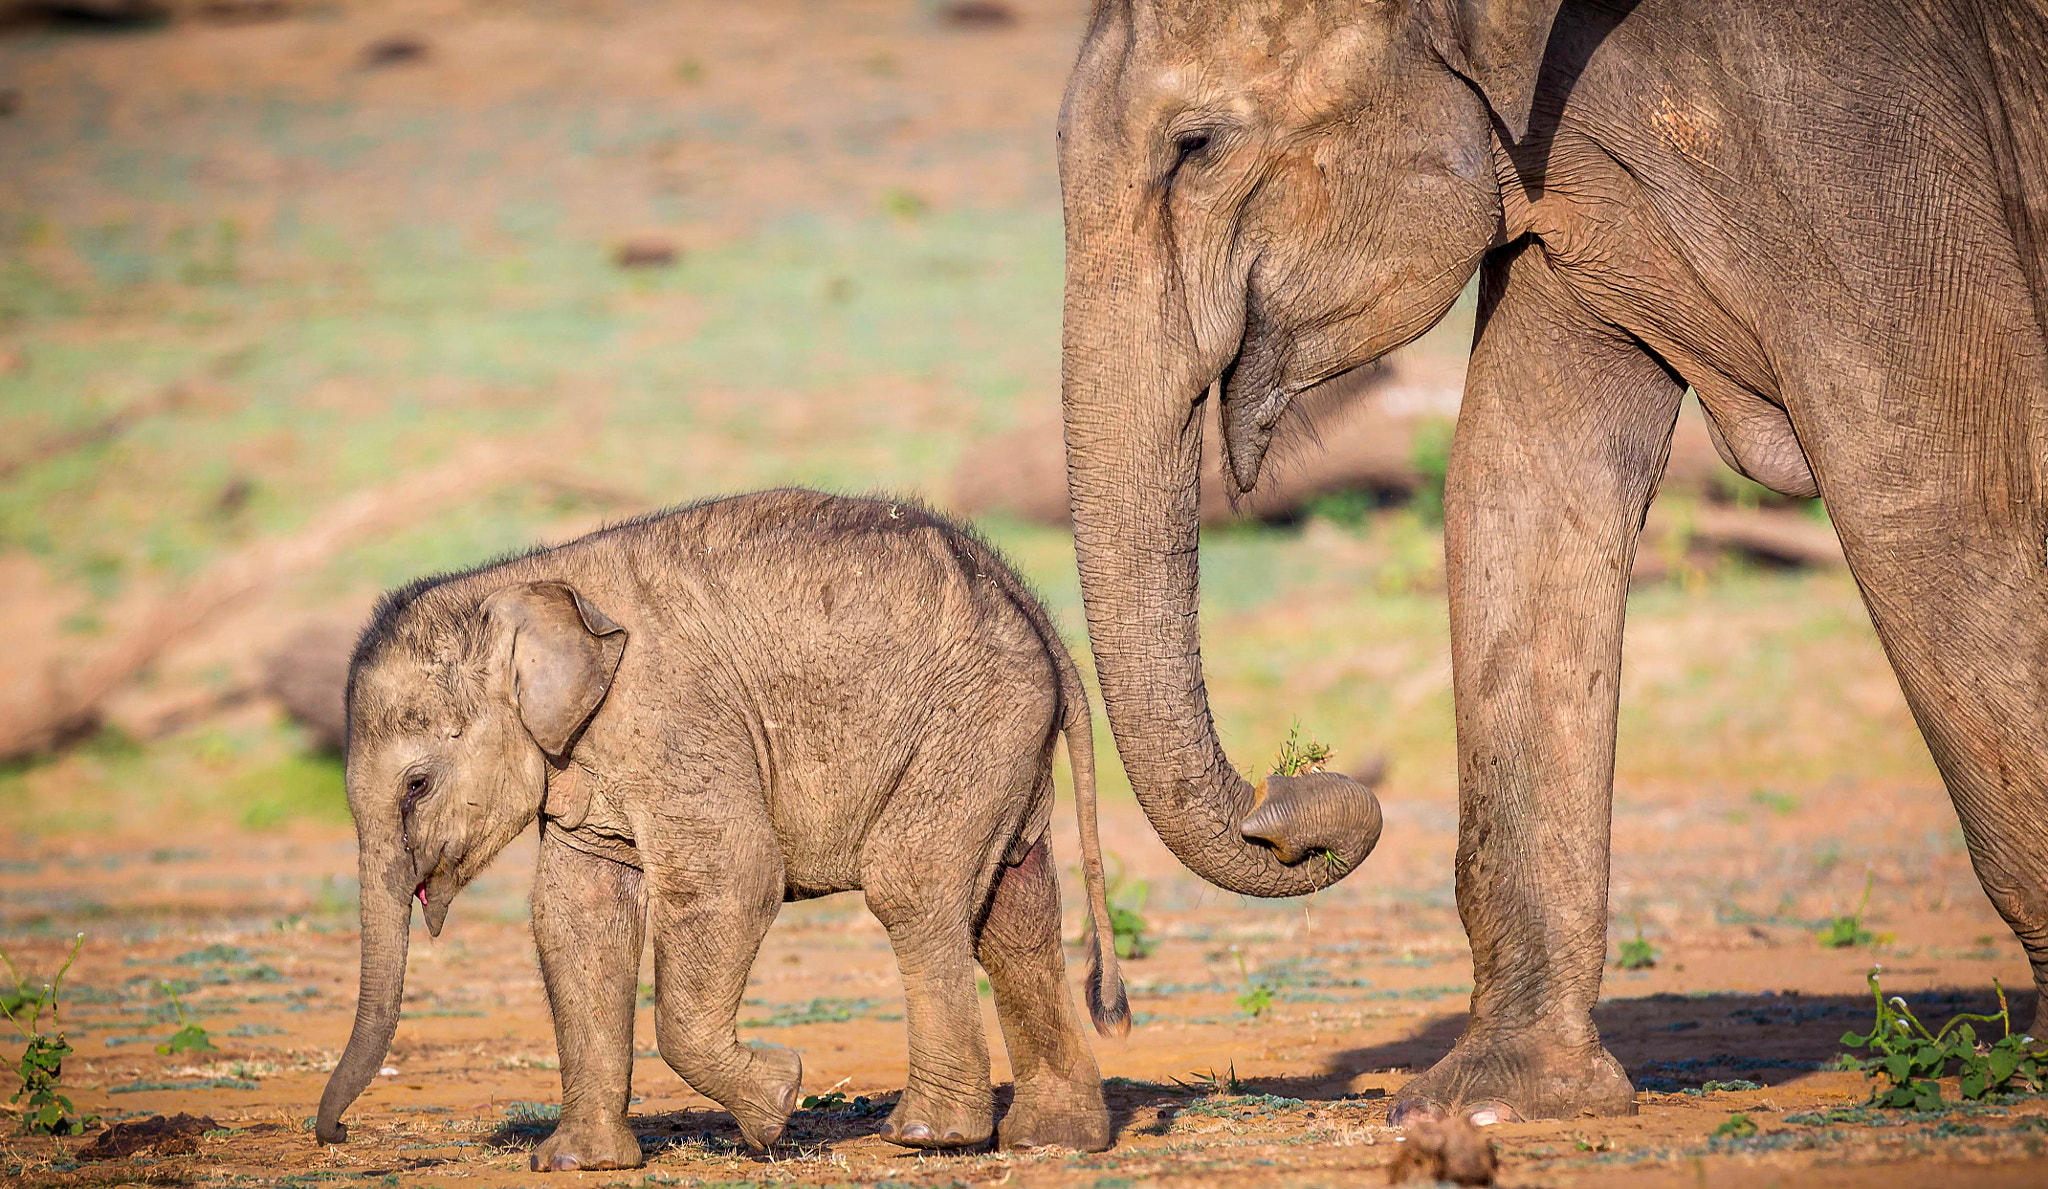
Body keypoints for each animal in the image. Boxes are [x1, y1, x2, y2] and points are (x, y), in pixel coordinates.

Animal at [314, 489, 1131, 1167]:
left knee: (913, 884)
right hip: (1004, 740)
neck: (520, 582)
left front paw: (778, 1102)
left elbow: (731, 877)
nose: (338, 1133)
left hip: (973, 720)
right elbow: (576, 916)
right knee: (1012, 910)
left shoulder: (675, 718)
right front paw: (575, 1163)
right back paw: (1055, 1140)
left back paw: (927, 1137)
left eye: (417, 785)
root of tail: (1035, 610)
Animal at [1058, 0, 2048, 1127]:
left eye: (1195, 147)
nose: (1294, 806)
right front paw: (1488, 1100)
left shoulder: (1860, 155)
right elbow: (1517, 485)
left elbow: (1929, 490)